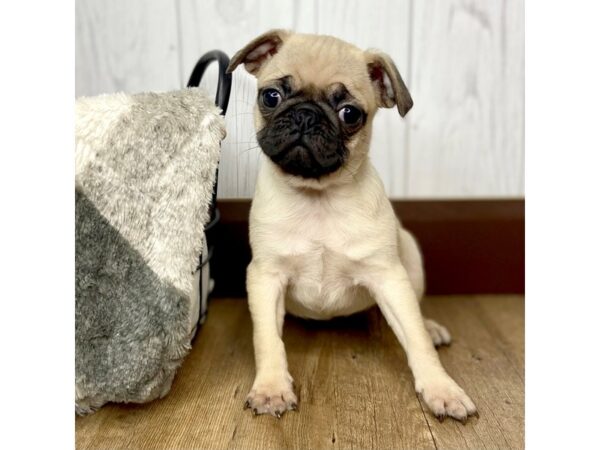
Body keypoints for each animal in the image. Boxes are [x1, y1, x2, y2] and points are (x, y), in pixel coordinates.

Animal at [227, 29, 476, 424]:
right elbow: (267, 339)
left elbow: (416, 339)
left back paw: (431, 326)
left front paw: (442, 389)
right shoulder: (266, 277)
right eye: (271, 96)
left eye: (350, 114)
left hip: (410, 256)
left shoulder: (389, 277)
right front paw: (271, 388)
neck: (318, 198)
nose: (305, 115)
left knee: (418, 317)